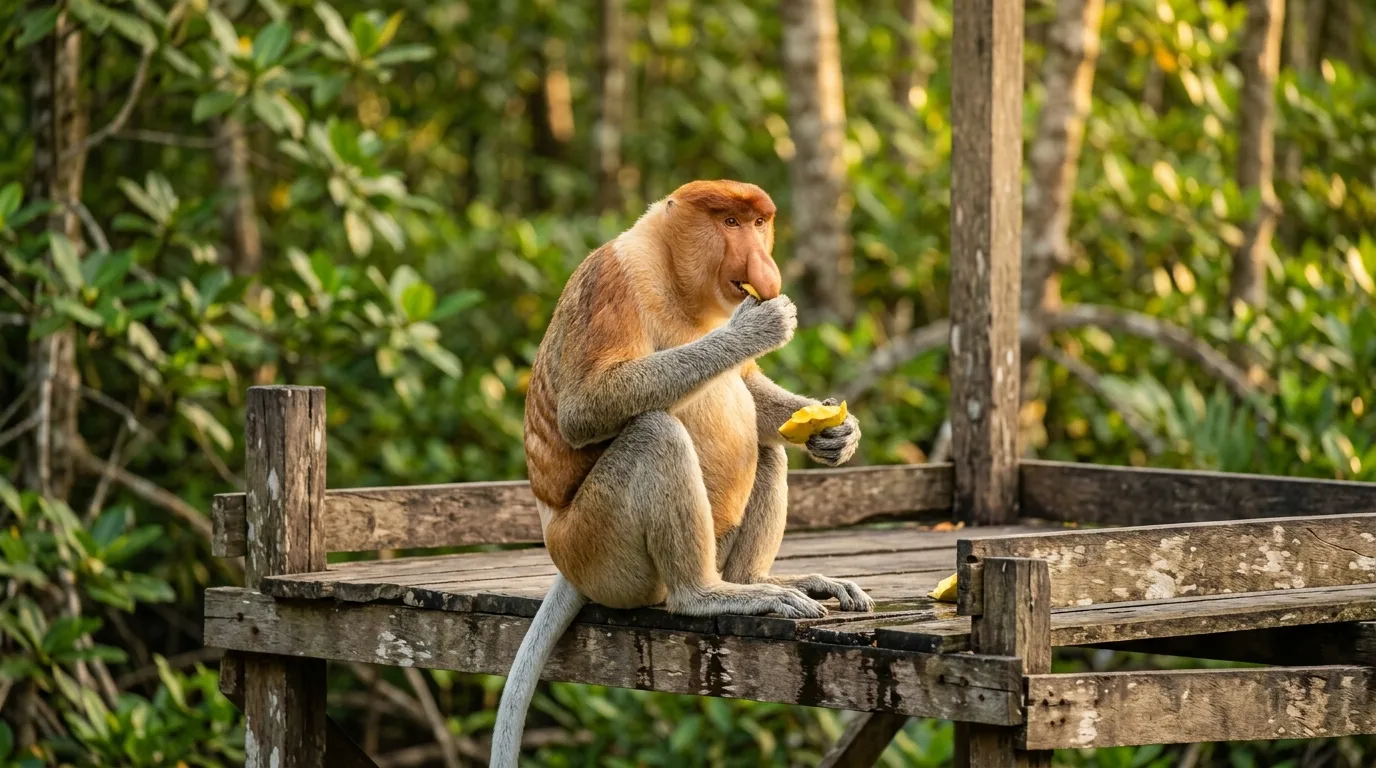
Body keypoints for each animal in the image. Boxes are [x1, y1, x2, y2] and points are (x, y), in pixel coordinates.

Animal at [491, 180, 872, 767]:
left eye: (759, 223)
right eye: (730, 222)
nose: (765, 269)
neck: (676, 277)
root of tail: (565, 562)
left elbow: (751, 393)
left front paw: (836, 433)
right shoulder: (612, 280)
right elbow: (585, 406)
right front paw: (759, 326)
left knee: (766, 448)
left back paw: (762, 581)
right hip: (600, 551)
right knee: (655, 434)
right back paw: (708, 594)